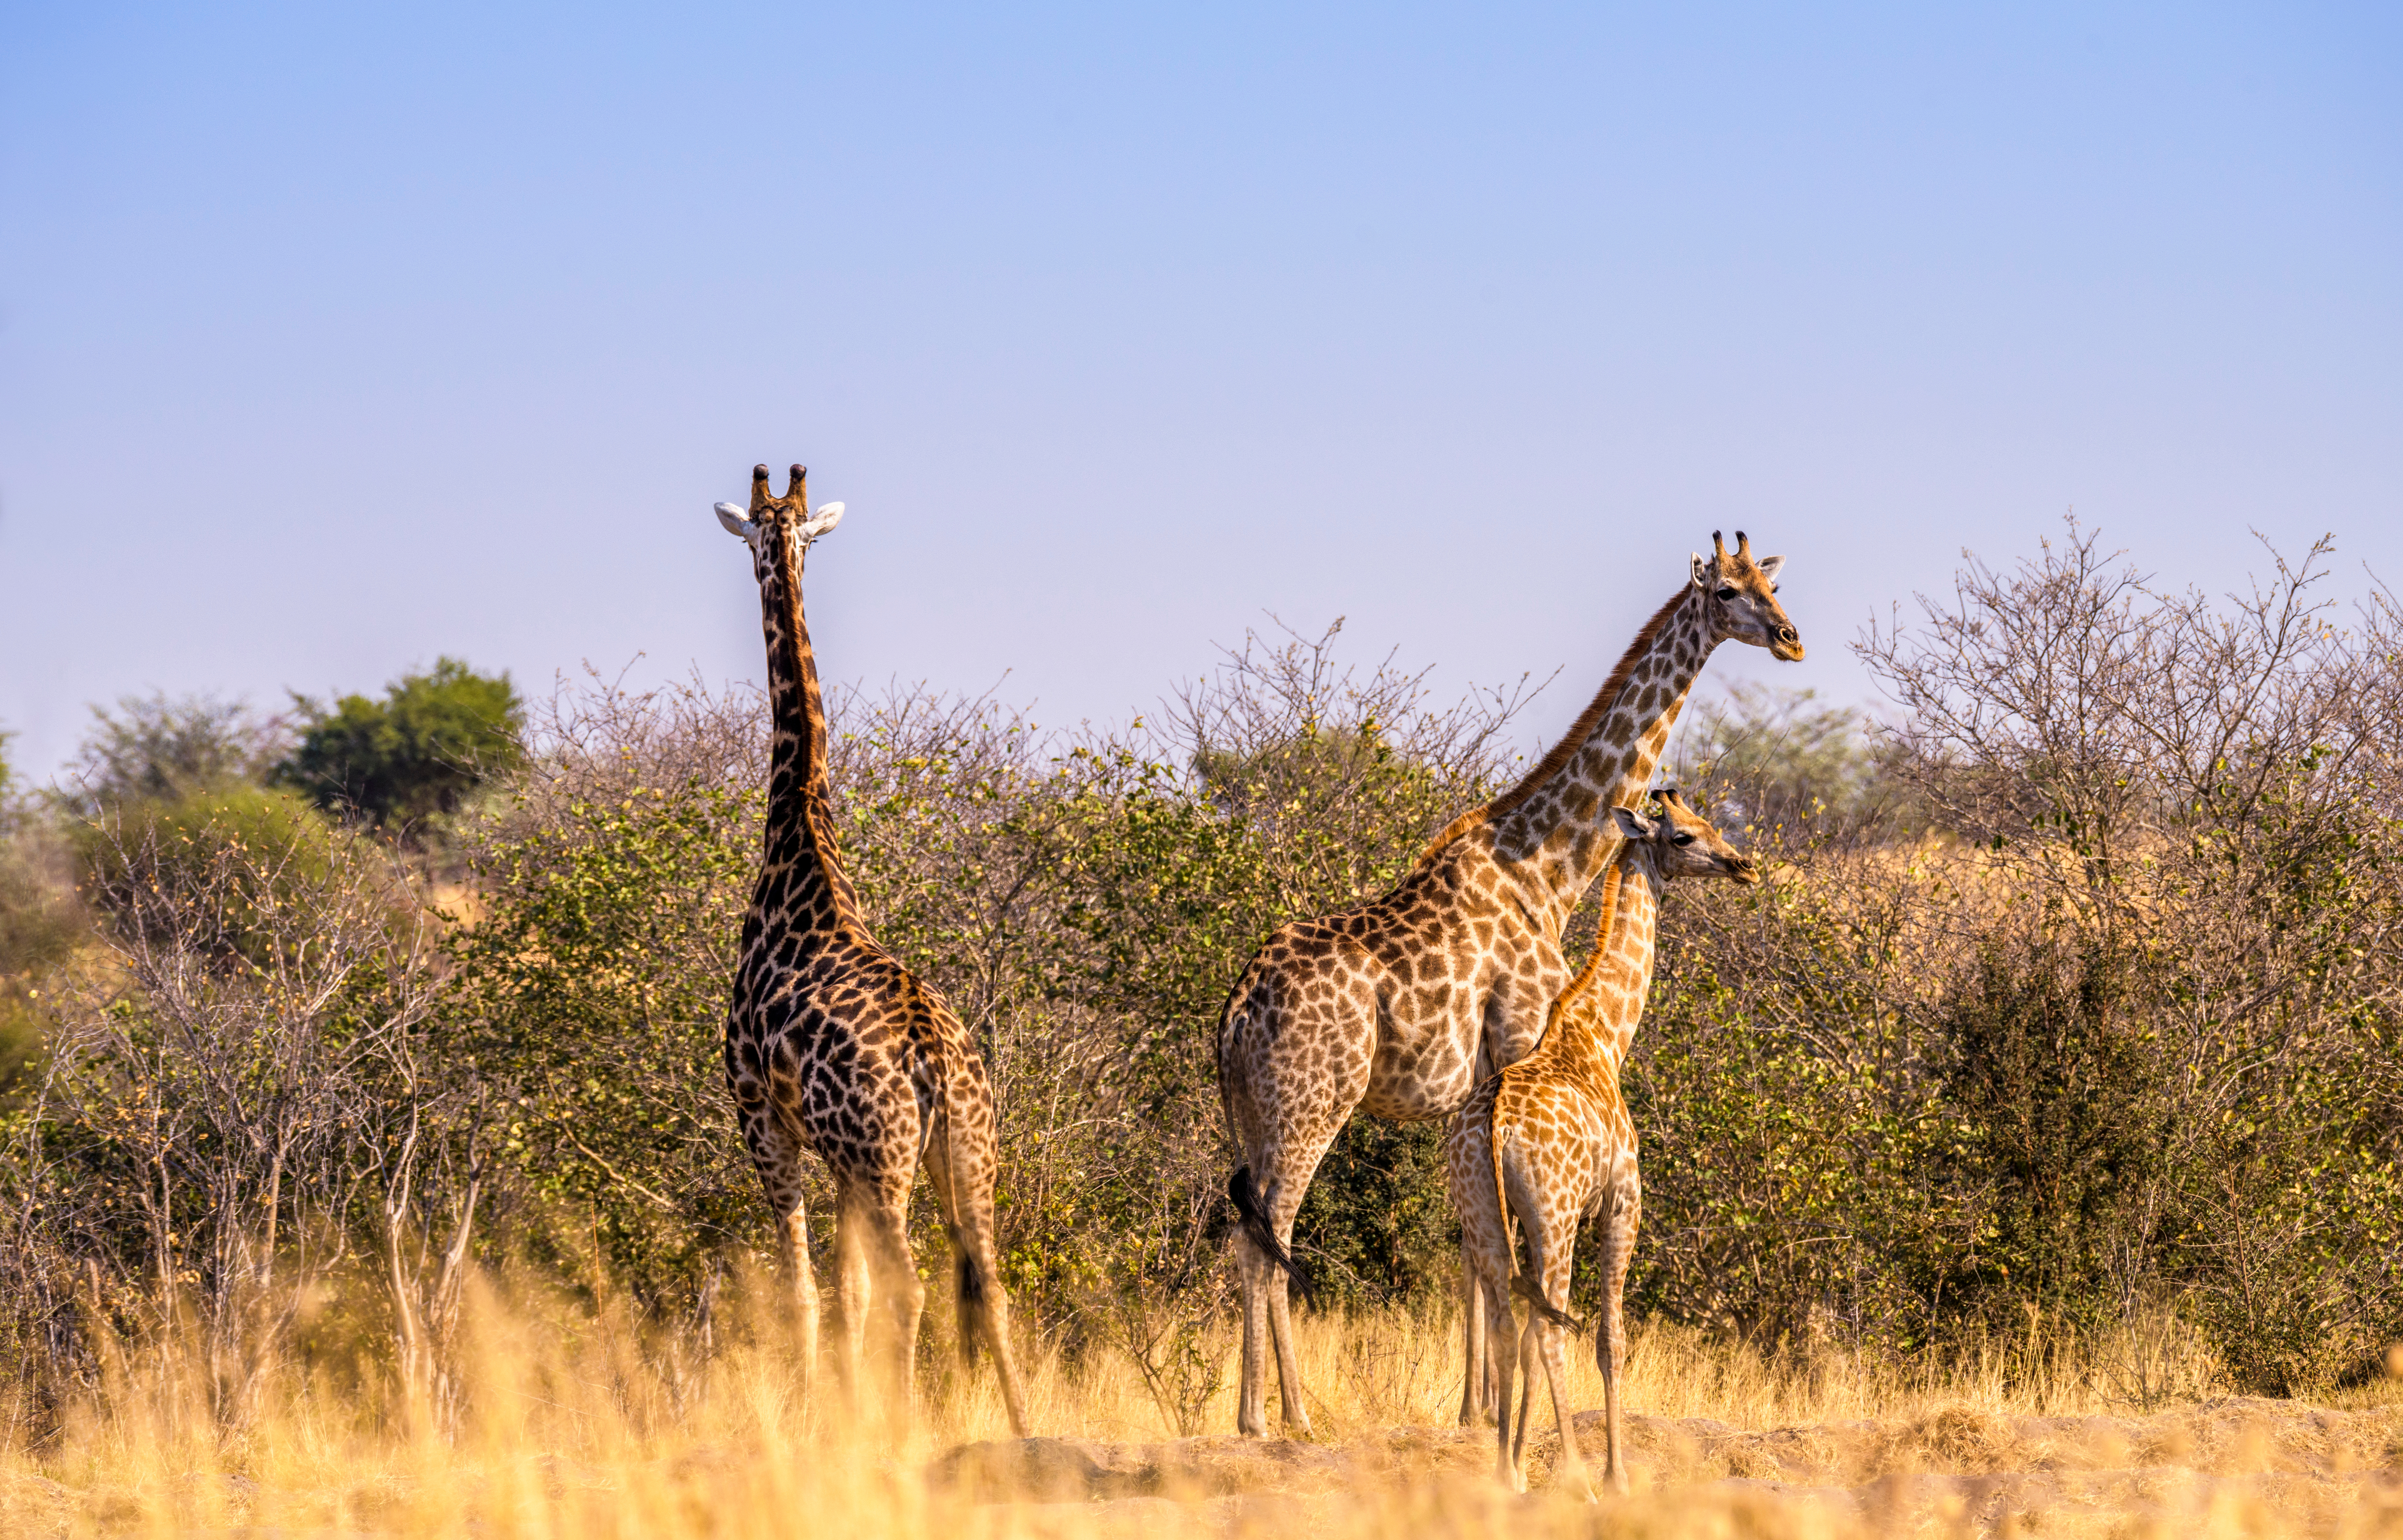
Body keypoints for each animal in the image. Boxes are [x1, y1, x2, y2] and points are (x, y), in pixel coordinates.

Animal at [702, 461, 1024, 1432]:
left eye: (759, 530)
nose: (770, 548)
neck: (800, 841)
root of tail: (934, 1060)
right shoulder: (837, 1156)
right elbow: (845, 1295)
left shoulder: (763, 1118)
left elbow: (806, 1291)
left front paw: (818, 1417)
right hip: (967, 1157)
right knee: (989, 1286)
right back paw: (1024, 1426)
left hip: (885, 1165)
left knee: (911, 1289)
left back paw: (908, 1428)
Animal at [1442, 788, 1768, 1499]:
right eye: (1682, 835)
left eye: (1708, 822)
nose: (1741, 865)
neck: (1605, 1036)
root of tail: (1497, 1124)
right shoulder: (1621, 1204)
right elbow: (1610, 1340)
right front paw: (1616, 1474)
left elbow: (1533, 1337)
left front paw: (1524, 1460)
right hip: (1555, 1215)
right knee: (1549, 1329)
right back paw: (1578, 1478)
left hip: (1480, 1214)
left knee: (1510, 1326)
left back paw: (1505, 1474)